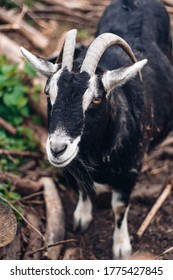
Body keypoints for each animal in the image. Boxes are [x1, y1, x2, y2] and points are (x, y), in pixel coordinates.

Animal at [19, 0, 173, 260]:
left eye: (97, 99)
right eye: (48, 92)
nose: (57, 149)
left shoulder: (131, 171)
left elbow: (119, 207)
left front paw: (121, 247)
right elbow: (83, 187)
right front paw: (81, 218)